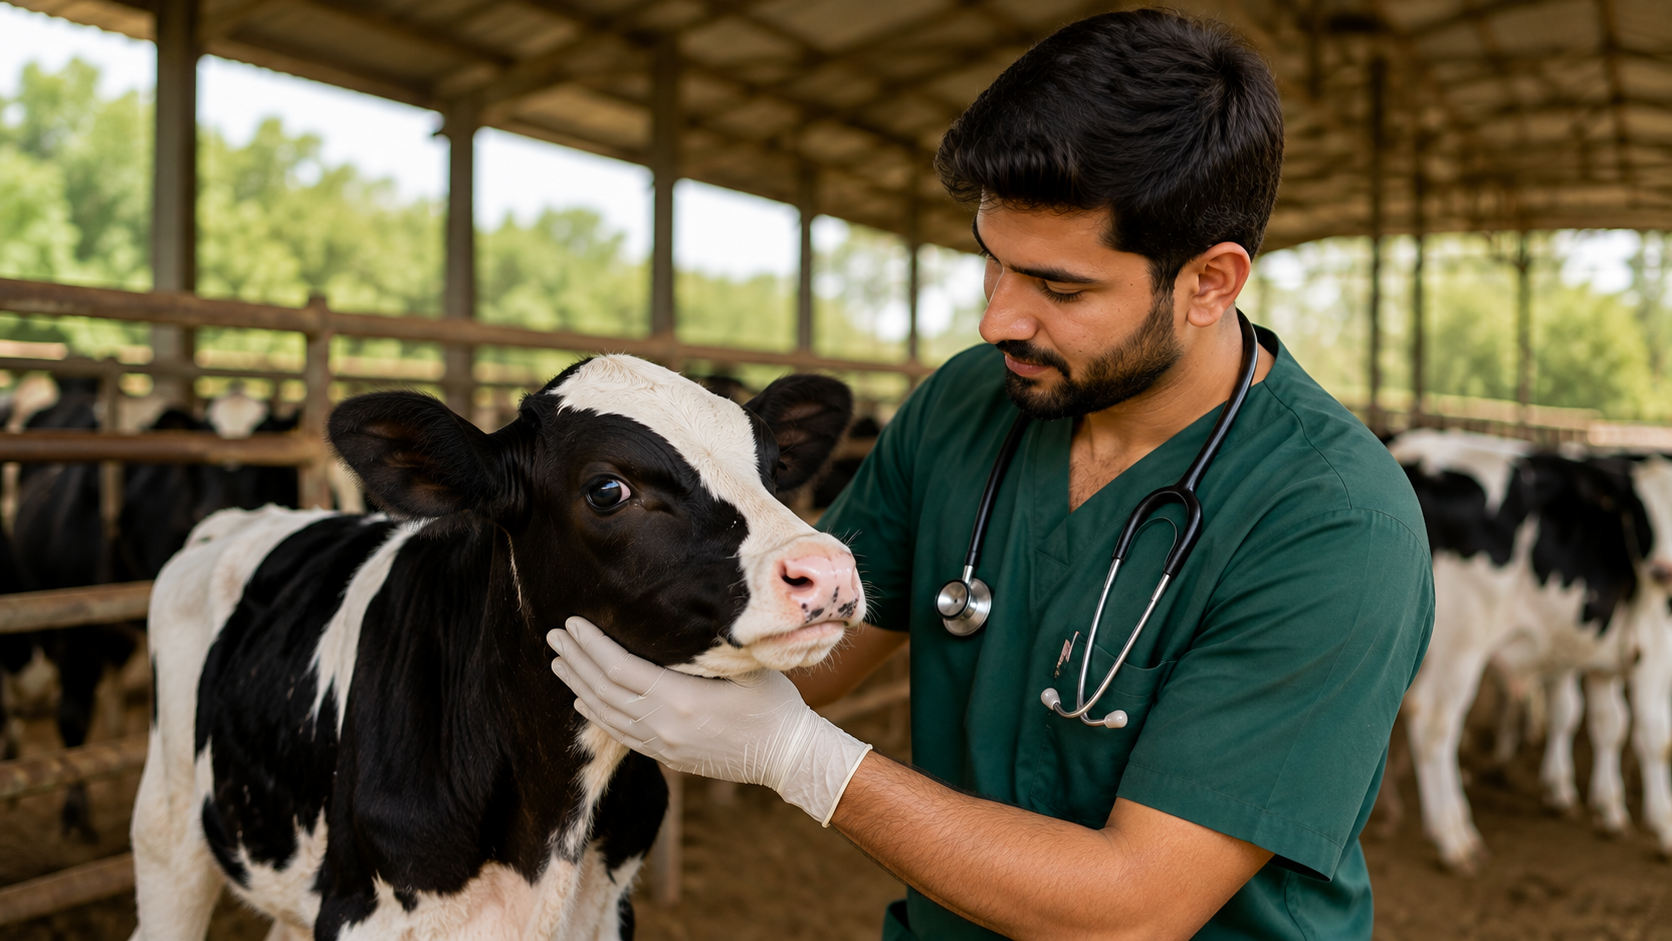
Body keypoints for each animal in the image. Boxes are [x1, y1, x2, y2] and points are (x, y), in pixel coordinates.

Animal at [1391, 428, 1672, 871]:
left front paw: (1608, 809)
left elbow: (1608, 725)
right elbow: (1655, 736)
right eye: (1642, 515)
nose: (1663, 572)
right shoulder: (1656, 651)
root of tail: (1417, 451)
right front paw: (1664, 825)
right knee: (1436, 724)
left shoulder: (1604, 660)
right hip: (1461, 643)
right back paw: (1455, 838)